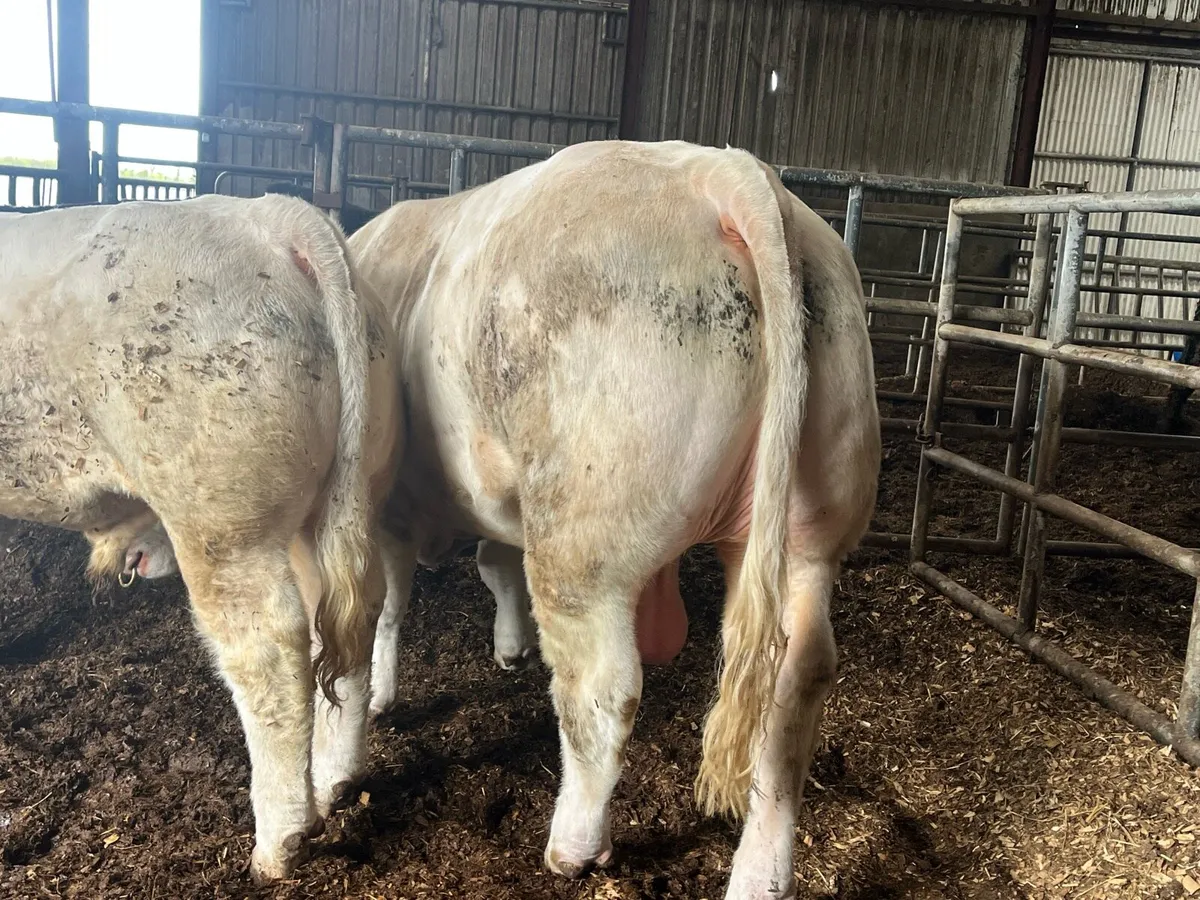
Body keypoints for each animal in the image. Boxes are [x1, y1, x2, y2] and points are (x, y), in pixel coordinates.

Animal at [0, 193, 401, 884]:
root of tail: (267, 217)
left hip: (220, 521)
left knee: (268, 649)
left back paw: (278, 844)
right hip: (334, 502)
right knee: (344, 620)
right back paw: (334, 781)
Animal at [348, 139, 881, 899]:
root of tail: (723, 172)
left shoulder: (391, 508)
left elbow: (390, 608)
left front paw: (384, 696)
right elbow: (493, 563)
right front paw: (507, 646)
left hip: (582, 535)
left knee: (602, 688)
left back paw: (574, 845)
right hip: (812, 525)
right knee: (793, 682)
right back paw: (760, 875)